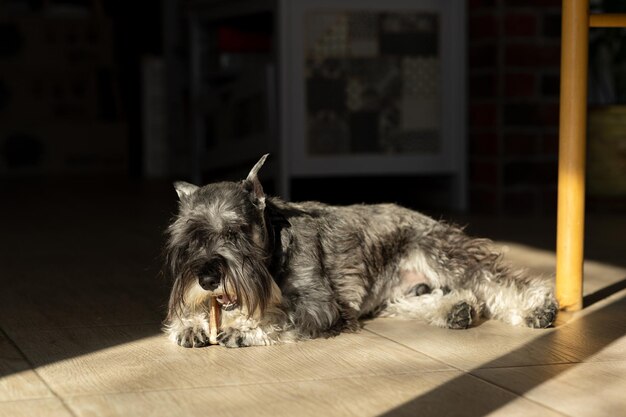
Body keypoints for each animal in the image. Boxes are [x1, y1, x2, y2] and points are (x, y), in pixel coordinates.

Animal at [162, 154, 556, 346]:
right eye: (190, 239)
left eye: (236, 233)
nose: (207, 279)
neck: (275, 250)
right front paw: (190, 325)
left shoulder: (319, 303)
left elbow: (280, 315)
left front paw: (245, 329)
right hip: (396, 290)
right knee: (420, 299)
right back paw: (456, 309)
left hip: (443, 254)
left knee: (494, 281)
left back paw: (537, 308)